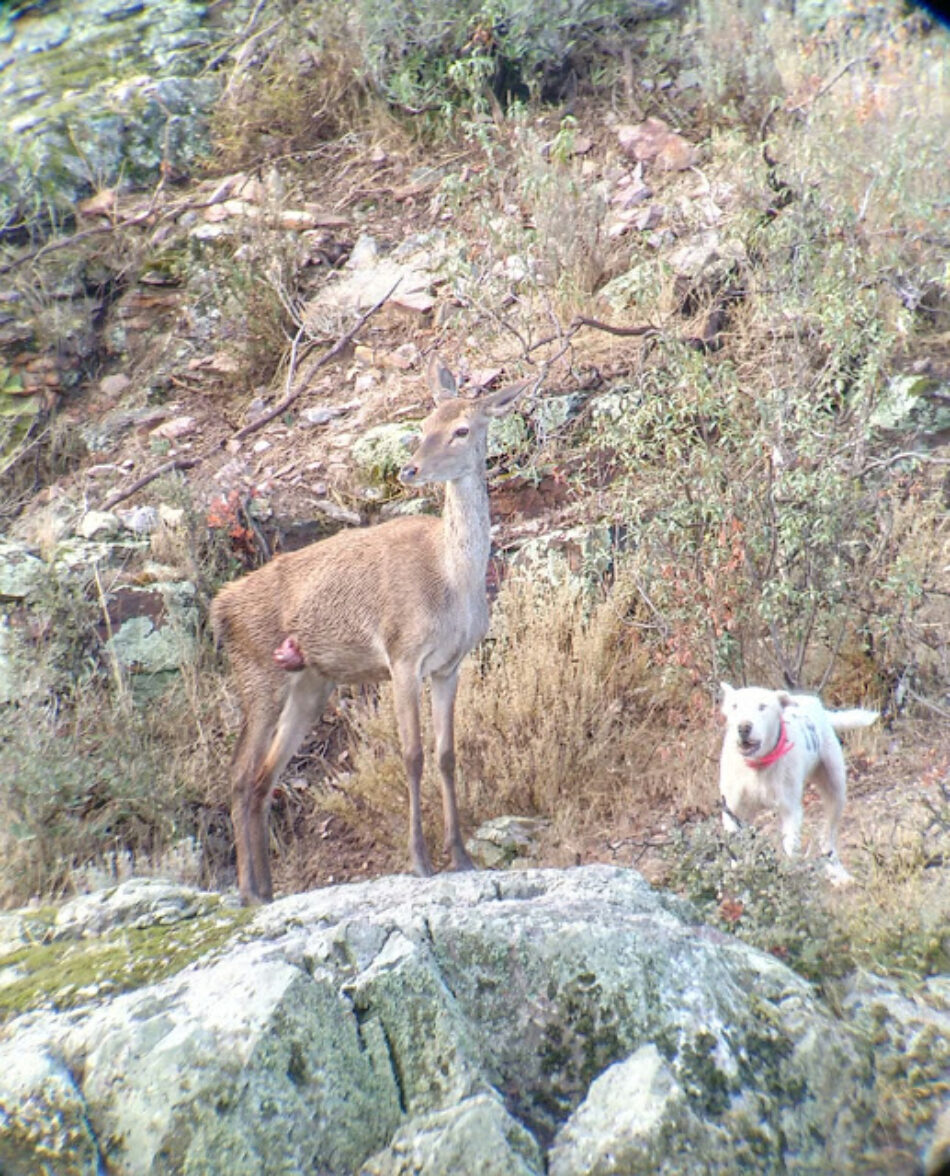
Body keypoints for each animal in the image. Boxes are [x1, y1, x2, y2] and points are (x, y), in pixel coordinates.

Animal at [209, 355, 531, 898]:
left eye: (462, 429)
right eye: (422, 426)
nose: (410, 469)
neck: (452, 582)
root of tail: (218, 609)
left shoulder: (449, 665)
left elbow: (446, 754)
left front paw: (462, 857)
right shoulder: (402, 655)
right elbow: (412, 754)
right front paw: (420, 860)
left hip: (309, 685)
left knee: (262, 778)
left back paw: (267, 890)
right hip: (257, 675)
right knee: (237, 773)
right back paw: (249, 891)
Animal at [719, 682, 874, 884]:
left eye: (762, 706)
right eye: (735, 706)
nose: (744, 727)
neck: (758, 765)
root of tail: (815, 704)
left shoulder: (790, 810)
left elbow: (791, 850)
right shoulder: (732, 811)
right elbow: (737, 850)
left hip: (836, 789)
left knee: (827, 837)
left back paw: (838, 873)